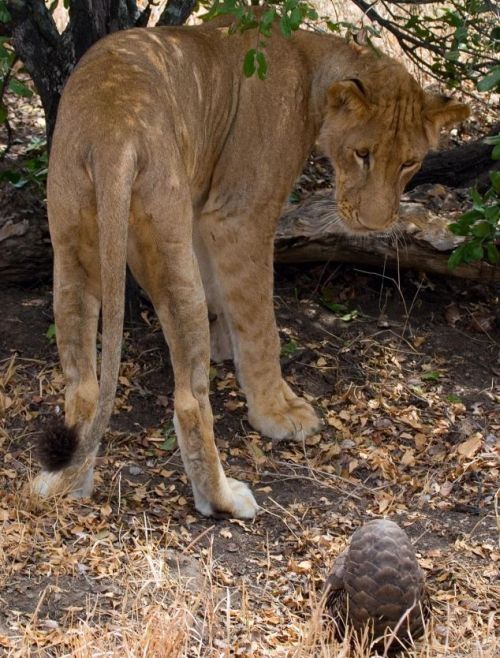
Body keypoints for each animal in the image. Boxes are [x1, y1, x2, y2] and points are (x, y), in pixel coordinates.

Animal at [31, 16, 468, 516]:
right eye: (363, 154)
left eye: (410, 163)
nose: (376, 224)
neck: (311, 68)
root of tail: (114, 133)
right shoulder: (241, 214)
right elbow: (260, 323)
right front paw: (277, 410)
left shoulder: (202, 209)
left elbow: (223, 295)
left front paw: (226, 345)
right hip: (169, 244)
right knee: (189, 399)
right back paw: (223, 499)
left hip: (74, 241)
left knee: (83, 384)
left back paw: (67, 482)